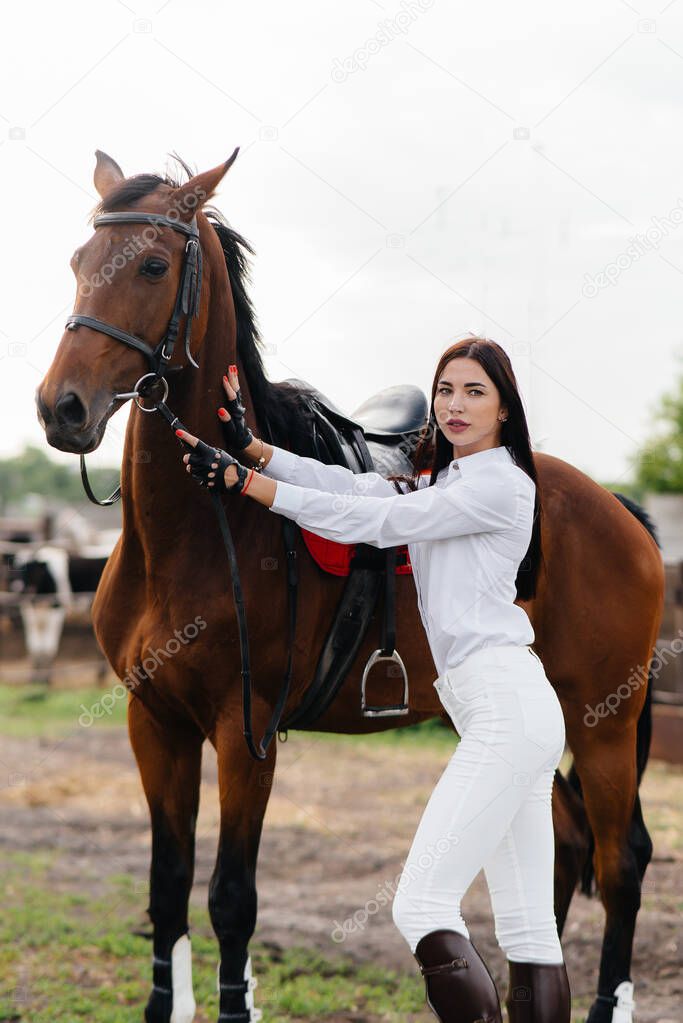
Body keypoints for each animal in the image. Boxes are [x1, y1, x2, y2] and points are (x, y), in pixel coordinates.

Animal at [36, 151, 662, 1023]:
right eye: (76, 262)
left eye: (153, 266)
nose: (61, 408)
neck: (199, 531)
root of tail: (617, 509)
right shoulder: (154, 723)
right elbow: (167, 891)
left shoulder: (246, 732)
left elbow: (231, 897)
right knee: (569, 849)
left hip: (602, 721)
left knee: (619, 861)